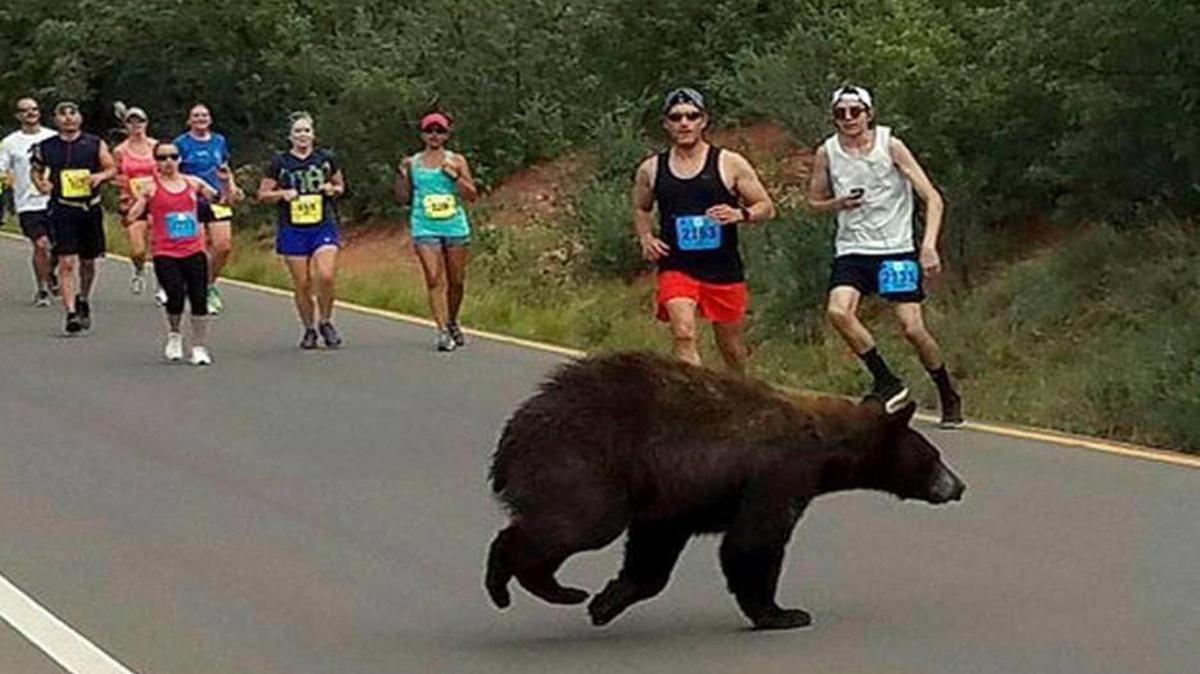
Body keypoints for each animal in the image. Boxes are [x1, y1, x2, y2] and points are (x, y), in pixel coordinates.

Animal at [484, 351, 965, 630]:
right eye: (934, 456)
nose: (958, 485)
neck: (828, 446)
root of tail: (508, 442)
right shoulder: (780, 471)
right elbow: (754, 542)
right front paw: (782, 613)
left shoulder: (677, 493)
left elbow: (655, 547)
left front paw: (609, 599)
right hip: (580, 461)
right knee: (580, 522)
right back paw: (526, 585)